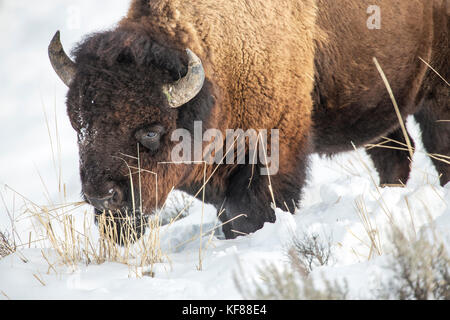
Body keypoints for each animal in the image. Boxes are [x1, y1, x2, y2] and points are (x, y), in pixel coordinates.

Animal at [47, 0, 448, 244]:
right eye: (78, 125)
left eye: (150, 130)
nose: (101, 196)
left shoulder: (271, 156)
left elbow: (252, 212)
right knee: (395, 153)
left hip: (437, 96)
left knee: (436, 148)